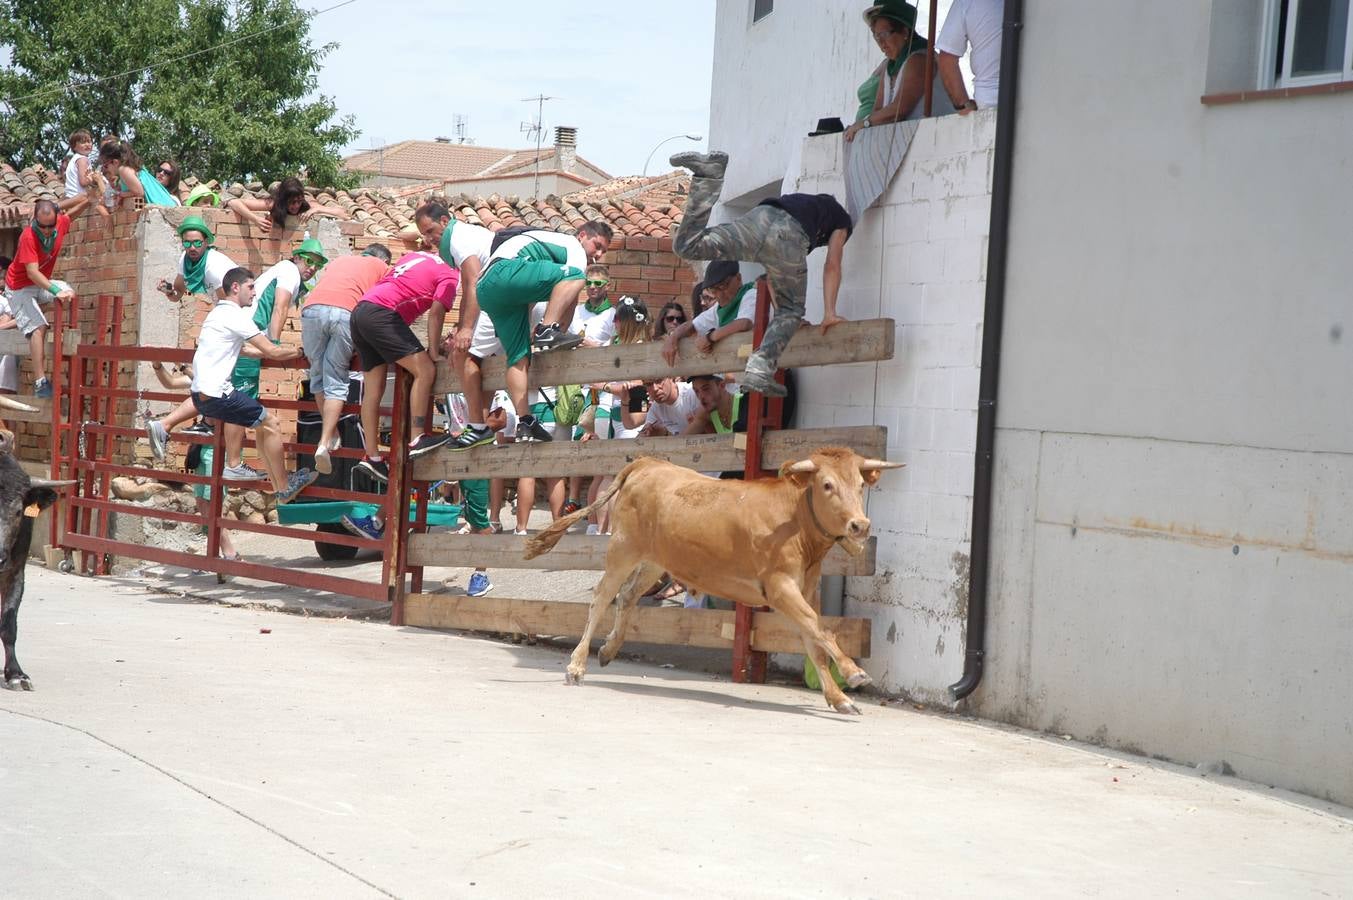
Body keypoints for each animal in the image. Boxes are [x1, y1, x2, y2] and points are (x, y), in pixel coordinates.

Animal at [524, 446, 898, 714]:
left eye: (860, 485)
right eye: (827, 485)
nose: (859, 525)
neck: (795, 521)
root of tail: (646, 464)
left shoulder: (805, 589)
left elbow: (813, 636)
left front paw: (838, 698)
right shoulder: (780, 588)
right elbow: (820, 629)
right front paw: (853, 673)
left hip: (655, 561)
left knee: (627, 596)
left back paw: (609, 650)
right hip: (623, 549)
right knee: (602, 597)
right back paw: (577, 665)